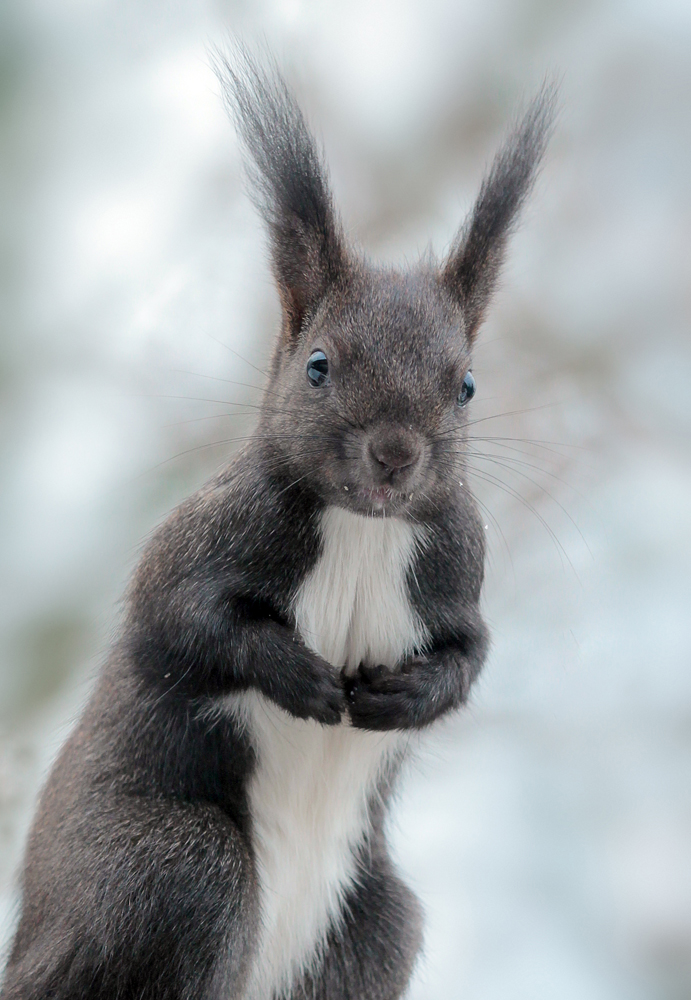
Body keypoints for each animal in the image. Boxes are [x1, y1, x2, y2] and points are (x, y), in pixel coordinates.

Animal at [1, 50, 556, 1000]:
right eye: (317, 367)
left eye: (466, 385)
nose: (394, 454)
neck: (363, 528)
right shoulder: (208, 536)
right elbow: (180, 616)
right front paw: (297, 676)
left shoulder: (456, 567)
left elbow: (471, 654)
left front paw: (406, 696)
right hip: (167, 868)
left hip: (371, 929)